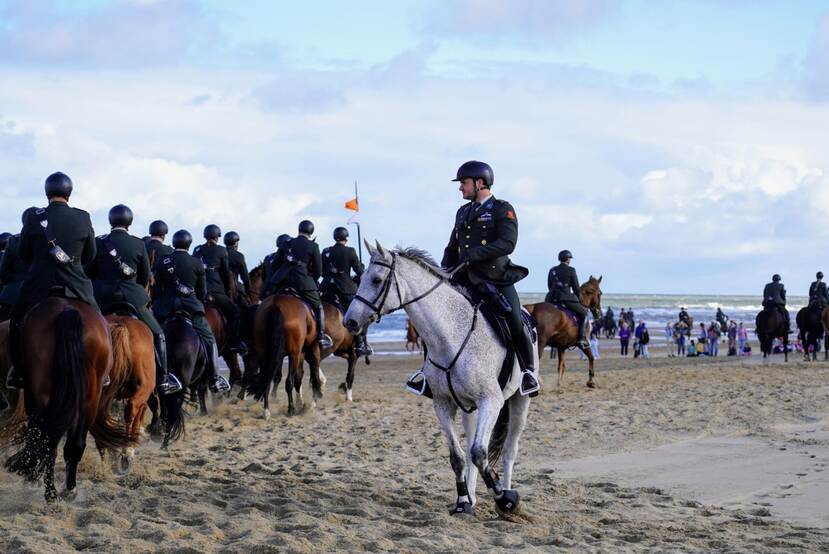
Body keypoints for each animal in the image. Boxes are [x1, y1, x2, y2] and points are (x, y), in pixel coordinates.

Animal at [4, 298, 137, 500]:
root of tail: (68, 311)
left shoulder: (31, 396)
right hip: (90, 398)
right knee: (72, 443)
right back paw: (67, 488)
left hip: (43, 394)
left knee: (48, 441)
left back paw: (50, 491)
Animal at [342, 244, 532, 516]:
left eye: (376, 280)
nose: (350, 321)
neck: (450, 335)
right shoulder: (443, 403)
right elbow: (459, 457)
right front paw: (463, 502)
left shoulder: (491, 401)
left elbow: (479, 453)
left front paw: (504, 498)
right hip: (469, 409)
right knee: (473, 445)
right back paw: (473, 496)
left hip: (519, 401)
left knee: (508, 450)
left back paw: (506, 494)